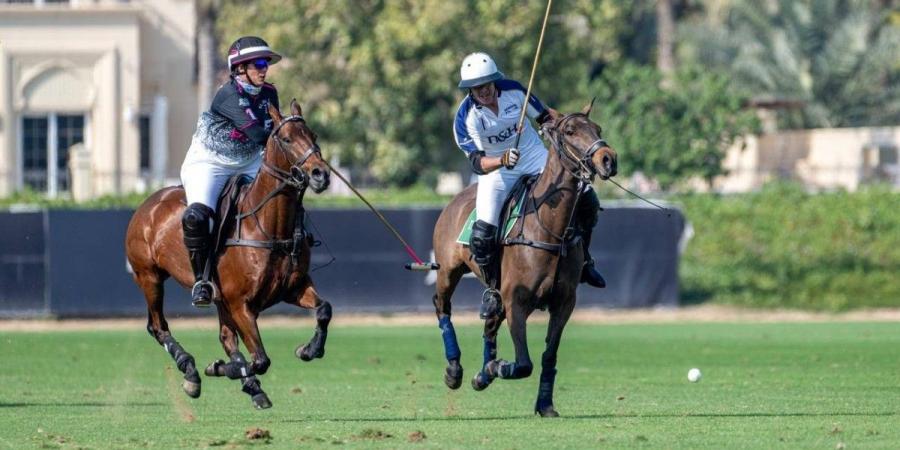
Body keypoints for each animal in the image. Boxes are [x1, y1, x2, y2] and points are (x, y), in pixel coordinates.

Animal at [126, 100, 334, 410]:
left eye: (314, 136)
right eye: (286, 139)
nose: (321, 174)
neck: (268, 227)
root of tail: (148, 203)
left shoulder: (293, 288)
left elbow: (324, 309)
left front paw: (308, 350)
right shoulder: (241, 304)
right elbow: (260, 359)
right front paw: (218, 368)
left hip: (217, 299)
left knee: (225, 337)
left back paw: (251, 388)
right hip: (148, 276)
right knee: (158, 326)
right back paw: (192, 372)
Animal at [430, 100, 616, 416]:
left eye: (598, 128)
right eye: (570, 130)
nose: (608, 159)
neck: (550, 230)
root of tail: (457, 197)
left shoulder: (564, 303)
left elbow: (548, 357)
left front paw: (545, 404)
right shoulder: (516, 300)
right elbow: (524, 363)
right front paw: (497, 368)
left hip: (497, 296)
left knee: (489, 326)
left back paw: (481, 376)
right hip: (448, 271)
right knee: (443, 307)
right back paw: (454, 370)